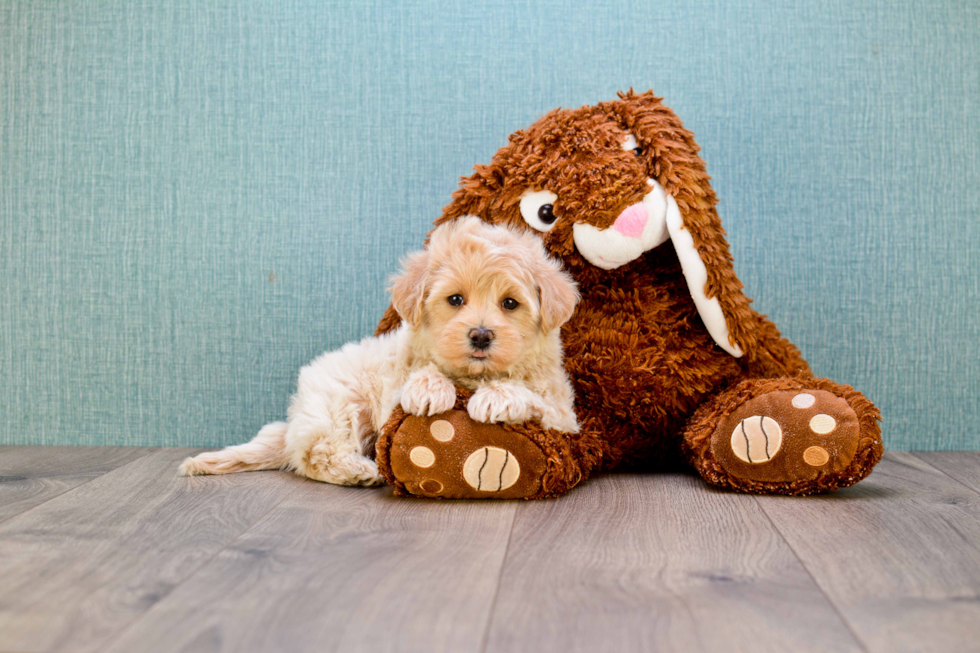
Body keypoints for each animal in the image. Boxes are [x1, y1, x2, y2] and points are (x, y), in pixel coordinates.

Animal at [178, 216, 580, 486]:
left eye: (510, 303)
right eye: (455, 300)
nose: (481, 335)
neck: (472, 376)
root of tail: (294, 421)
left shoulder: (564, 414)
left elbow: (534, 396)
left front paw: (498, 397)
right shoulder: (392, 391)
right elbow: (418, 377)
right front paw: (429, 388)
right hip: (338, 405)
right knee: (314, 454)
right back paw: (360, 470)